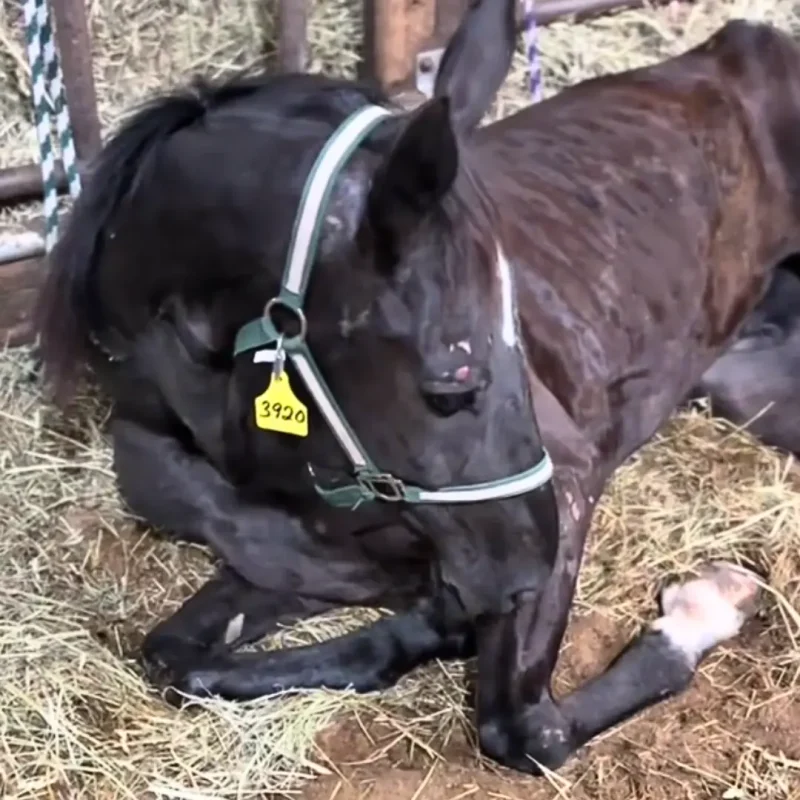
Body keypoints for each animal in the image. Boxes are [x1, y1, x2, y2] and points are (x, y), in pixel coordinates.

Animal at [34, 0, 798, 774]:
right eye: (452, 378)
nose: (527, 578)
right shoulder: (323, 563)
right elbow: (180, 656)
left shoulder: (565, 482)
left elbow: (523, 730)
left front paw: (705, 605)